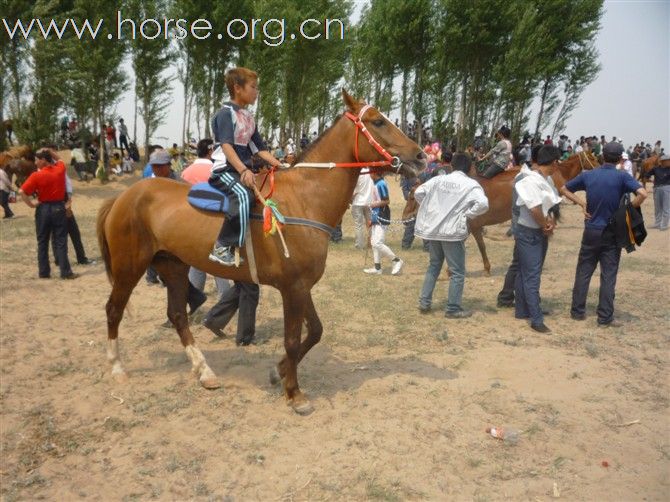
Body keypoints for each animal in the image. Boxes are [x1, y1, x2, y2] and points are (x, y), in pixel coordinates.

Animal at [96, 91, 426, 416]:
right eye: (378, 121)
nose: (421, 156)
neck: (304, 199)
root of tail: (123, 196)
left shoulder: (301, 285)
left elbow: (315, 332)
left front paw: (278, 371)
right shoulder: (292, 288)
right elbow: (292, 339)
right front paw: (294, 393)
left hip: (173, 266)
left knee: (177, 315)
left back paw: (204, 372)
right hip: (129, 267)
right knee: (113, 310)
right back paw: (117, 367)